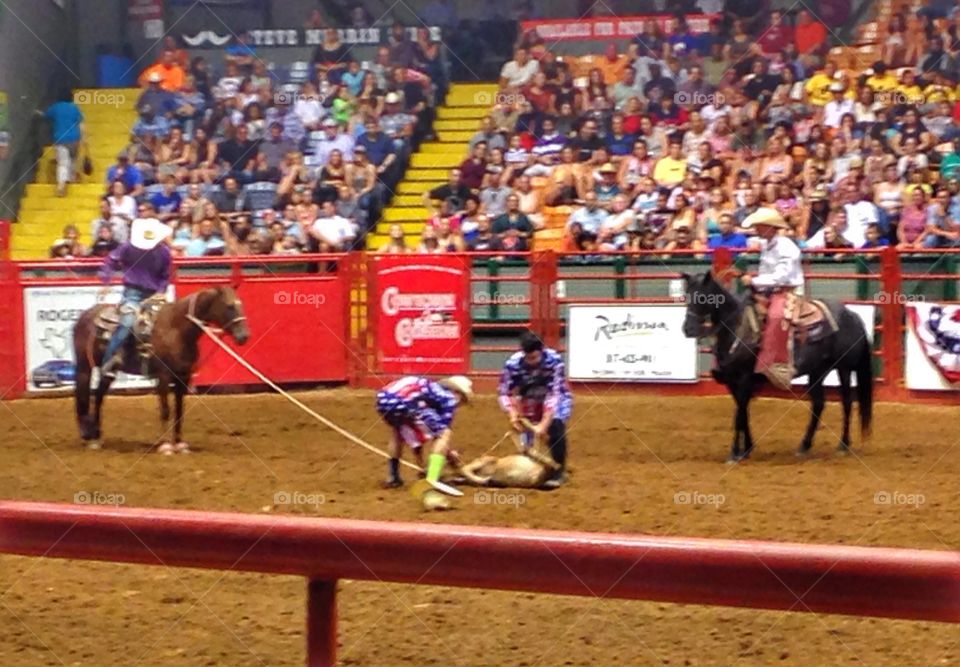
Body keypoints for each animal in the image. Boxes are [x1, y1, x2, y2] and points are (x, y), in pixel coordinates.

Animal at [73, 288, 249, 454]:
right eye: (229, 306)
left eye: (240, 305)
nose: (244, 336)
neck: (177, 329)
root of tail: (84, 316)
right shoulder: (163, 376)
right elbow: (166, 410)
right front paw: (165, 446)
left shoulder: (183, 378)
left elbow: (179, 411)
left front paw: (179, 444)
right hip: (84, 367)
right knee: (84, 395)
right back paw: (89, 436)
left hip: (109, 371)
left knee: (99, 396)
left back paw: (96, 437)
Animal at [680, 274, 872, 462]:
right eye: (687, 296)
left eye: (702, 297)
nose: (688, 329)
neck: (737, 328)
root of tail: (853, 314)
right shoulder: (733, 382)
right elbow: (744, 412)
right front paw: (747, 448)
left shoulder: (744, 379)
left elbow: (739, 414)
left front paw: (735, 453)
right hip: (817, 371)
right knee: (818, 403)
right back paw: (804, 446)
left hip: (844, 368)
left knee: (846, 402)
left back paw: (843, 445)